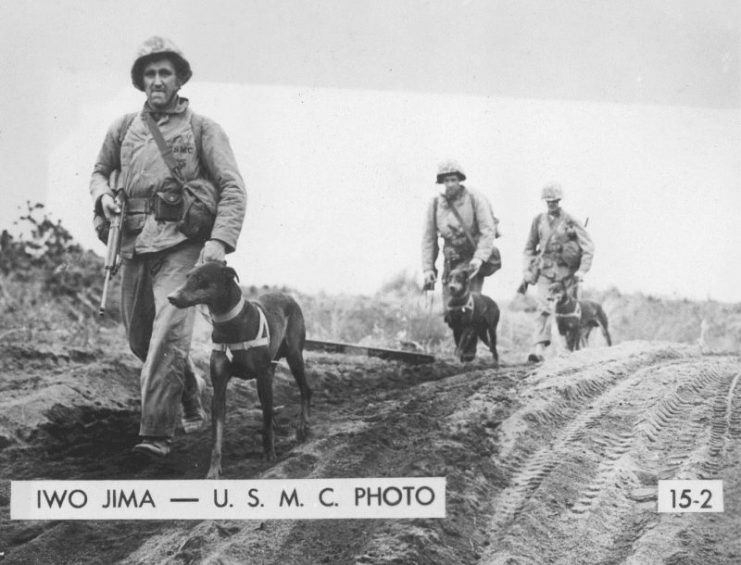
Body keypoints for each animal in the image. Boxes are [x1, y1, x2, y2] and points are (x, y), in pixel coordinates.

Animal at [169, 262, 310, 478]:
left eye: (200, 278)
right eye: (187, 276)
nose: (171, 297)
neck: (230, 324)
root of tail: (289, 296)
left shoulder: (262, 377)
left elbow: (266, 421)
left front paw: (269, 454)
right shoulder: (219, 388)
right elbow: (217, 435)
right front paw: (213, 470)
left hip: (294, 357)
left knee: (304, 391)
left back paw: (302, 427)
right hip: (271, 368)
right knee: (270, 405)